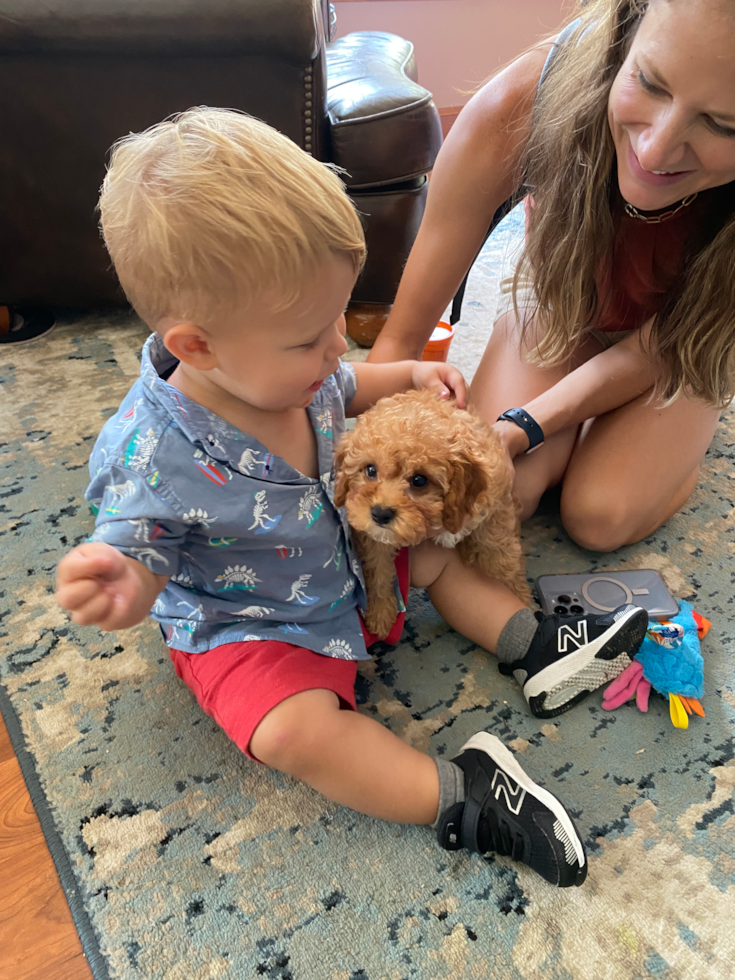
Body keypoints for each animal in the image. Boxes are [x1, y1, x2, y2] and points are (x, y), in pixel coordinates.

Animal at [336, 386, 532, 640]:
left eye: (419, 480)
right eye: (370, 470)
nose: (380, 513)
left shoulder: (495, 510)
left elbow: (500, 561)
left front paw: (521, 599)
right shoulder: (371, 533)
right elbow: (377, 567)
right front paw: (380, 613)